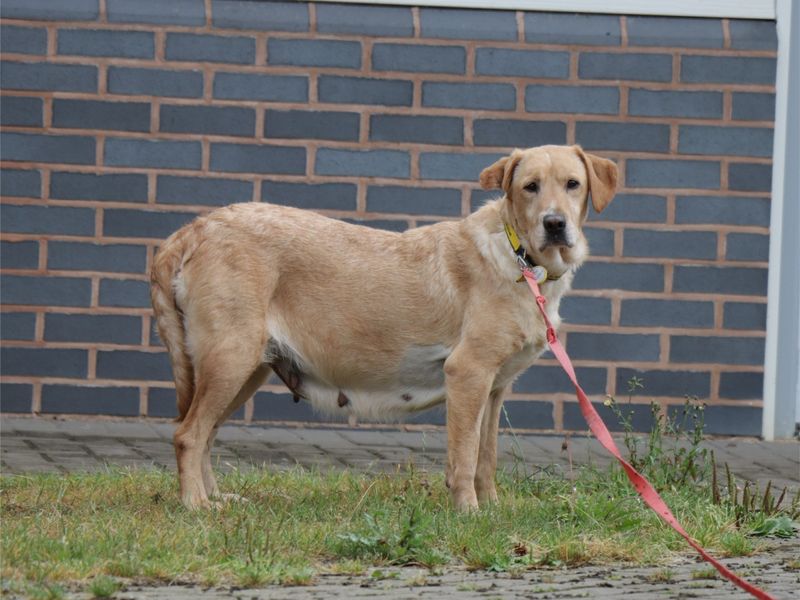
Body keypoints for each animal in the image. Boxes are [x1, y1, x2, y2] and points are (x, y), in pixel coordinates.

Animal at [153, 143, 620, 508]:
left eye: (573, 184)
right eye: (530, 187)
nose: (555, 224)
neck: (520, 256)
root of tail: (191, 230)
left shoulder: (495, 387)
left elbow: (486, 455)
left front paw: (492, 510)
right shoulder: (468, 373)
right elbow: (465, 455)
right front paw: (467, 512)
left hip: (246, 369)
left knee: (206, 434)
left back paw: (216, 498)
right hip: (231, 359)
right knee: (188, 434)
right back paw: (195, 504)